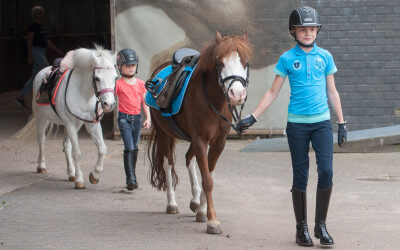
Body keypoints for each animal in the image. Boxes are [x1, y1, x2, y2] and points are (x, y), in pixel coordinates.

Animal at [32, 46, 117, 188]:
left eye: (115, 77)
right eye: (97, 78)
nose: (109, 104)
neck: (83, 94)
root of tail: (41, 72)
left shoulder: (91, 124)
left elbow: (102, 148)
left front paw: (94, 175)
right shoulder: (71, 124)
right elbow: (77, 153)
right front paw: (79, 180)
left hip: (69, 126)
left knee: (66, 146)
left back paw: (71, 173)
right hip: (42, 118)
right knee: (41, 140)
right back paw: (41, 166)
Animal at [148, 31, 252, 234]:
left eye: (245, 62)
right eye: (220, 63)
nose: (237, 95)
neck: (213, 100)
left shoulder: (218, 142)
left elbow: (208, 175)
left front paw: (202, 211)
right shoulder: (200, 140)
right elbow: (208, 180)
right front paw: (212, 221)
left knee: (188, 158)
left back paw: (195, 201)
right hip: (165, 134)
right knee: (167, 164)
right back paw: (171, 204)